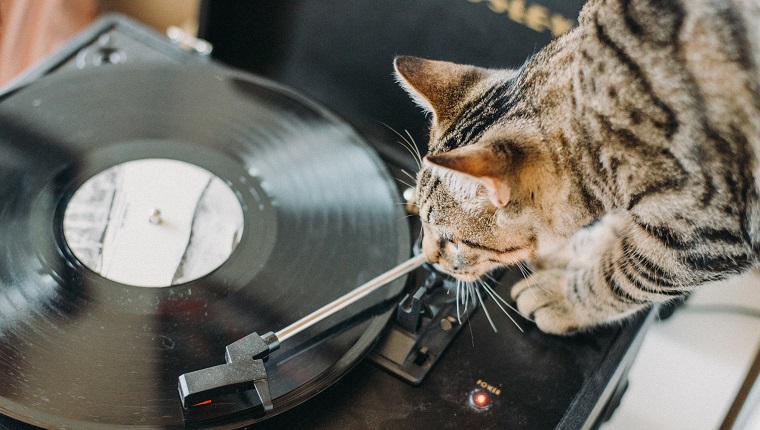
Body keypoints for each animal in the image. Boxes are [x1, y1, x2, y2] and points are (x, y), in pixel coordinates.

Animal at [394, 0, 760, 336]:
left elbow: (630, 276)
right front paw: (572, 252)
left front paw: (562, 297)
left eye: (455, 242)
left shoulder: (709, 238)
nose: (428, 258)